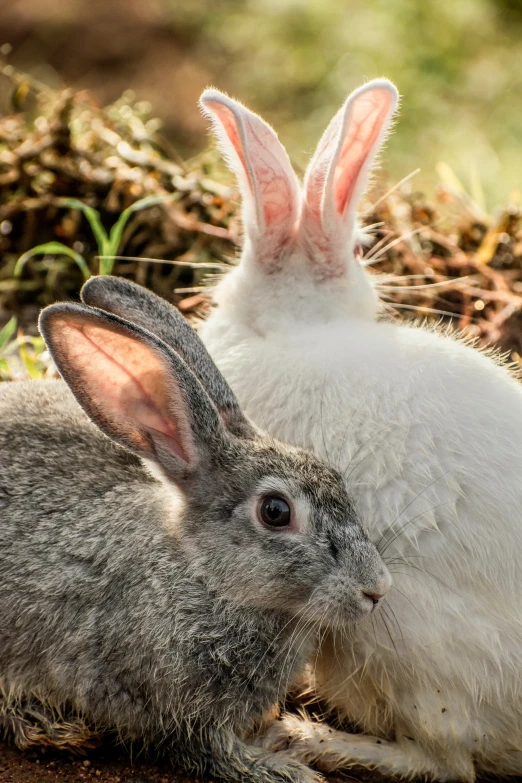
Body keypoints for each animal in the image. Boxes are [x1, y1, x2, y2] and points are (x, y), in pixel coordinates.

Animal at [0, 278, 388, 783]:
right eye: (276, 512)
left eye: (336, 477)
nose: (376, 589)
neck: (205, 577)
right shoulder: (175, 710)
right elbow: (212, 751)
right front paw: (284, 770)